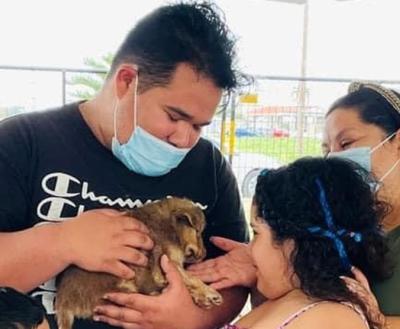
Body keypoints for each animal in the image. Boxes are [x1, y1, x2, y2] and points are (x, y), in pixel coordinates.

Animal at [55, 197, 223, 328]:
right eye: (198, 232)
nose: (205, 254)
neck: (171, 225)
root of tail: (63, 303)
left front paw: (202, 298)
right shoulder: (166, 261)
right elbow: (190, 277)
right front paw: (210, 293)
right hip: (119, 287)